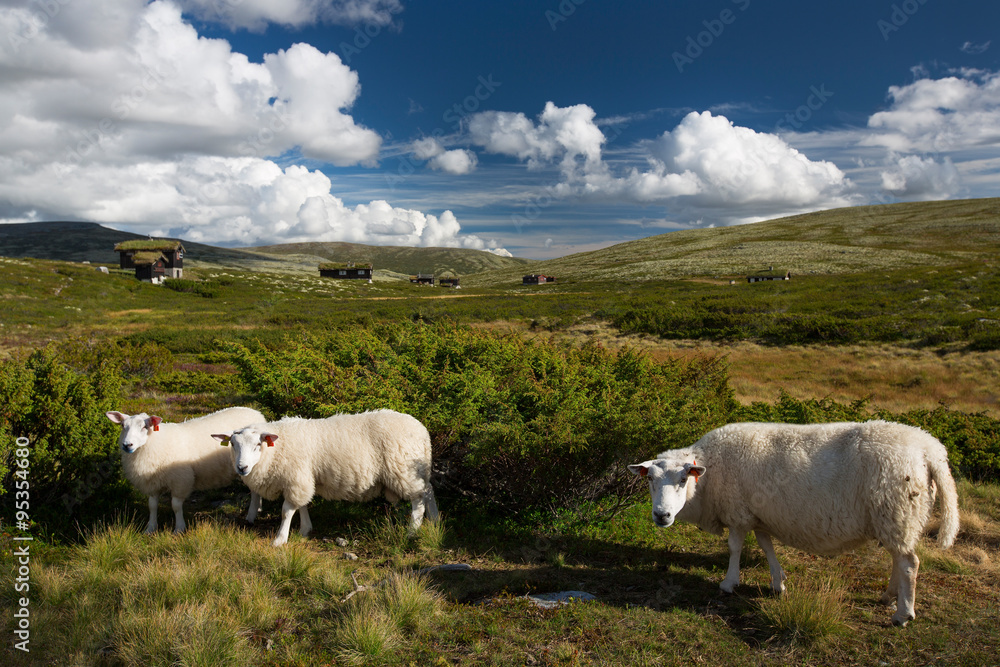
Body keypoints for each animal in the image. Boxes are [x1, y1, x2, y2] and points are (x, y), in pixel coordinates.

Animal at [213, 410, 440, 544]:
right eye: (233, 444)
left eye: (257, 445)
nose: (242, 468)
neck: (277, 447)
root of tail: (422, 430)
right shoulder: (303, 477)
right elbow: (302, 505)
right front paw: (305, 529)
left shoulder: (296, 478)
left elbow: (287, 511)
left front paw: (280, 540)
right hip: (416, 470)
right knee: (429, 490)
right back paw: (435, 520)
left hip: (404, 469)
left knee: (418, 499)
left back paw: (413, 531)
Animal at [624, 420, 960, 628]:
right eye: (650, 480)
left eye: (683, 480)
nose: (661, 516)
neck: (710, 472)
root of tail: (931, 450)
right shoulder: (758, 514)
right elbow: (766, 545)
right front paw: (779, 582)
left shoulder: (738, 512)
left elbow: (734, 548)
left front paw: (729, 583)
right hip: (896, 517)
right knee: (898, 559)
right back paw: (889, 596)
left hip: (897, 510)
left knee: (909, 564)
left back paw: (903, 613)